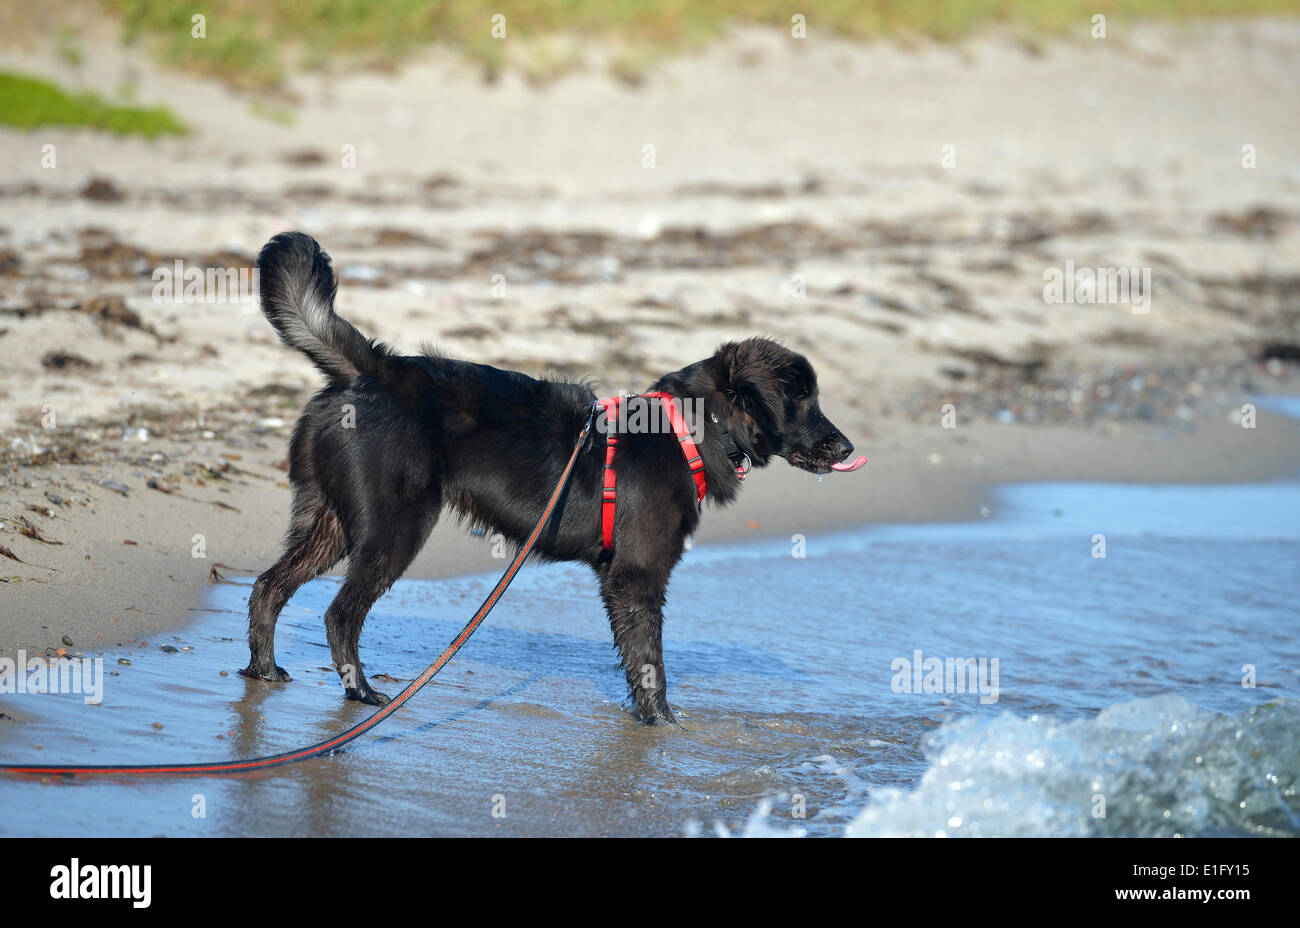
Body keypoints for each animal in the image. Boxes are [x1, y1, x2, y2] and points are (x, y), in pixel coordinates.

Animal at [241, 227, 852, 717]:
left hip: (327, 521)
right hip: (391, 529)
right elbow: (650, 665)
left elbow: (636, 661)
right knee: (339, 615)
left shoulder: (616, 580)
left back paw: (263, 671)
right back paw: (361, 693)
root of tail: (372, 368)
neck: (690, 430)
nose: (846, 446)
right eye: (800, 397)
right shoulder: (637, 575)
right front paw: (662, 727)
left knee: (268, 587)